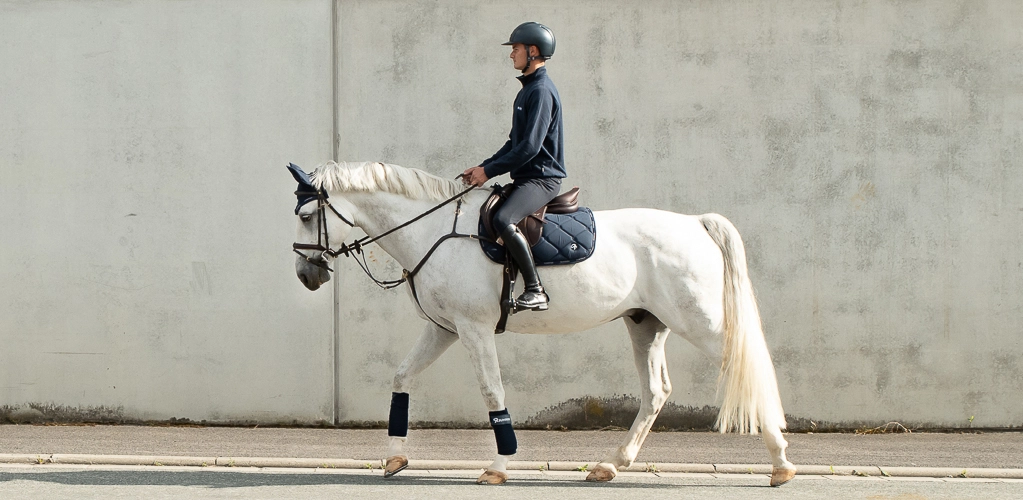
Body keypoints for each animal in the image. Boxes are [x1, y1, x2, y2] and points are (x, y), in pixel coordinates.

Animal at [290, 161, 796, 487]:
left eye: (307, 215)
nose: (307, 275)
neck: (434, 233)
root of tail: (694, 223)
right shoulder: (444, 329)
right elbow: (401, 376)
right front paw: (395, 457)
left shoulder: (473, 330)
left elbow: (492, 392)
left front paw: (498, 467)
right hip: (645, 325)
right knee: (656, 392)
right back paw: (611, 465)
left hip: (700, 322)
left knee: (747, 368)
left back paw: (780, 464)